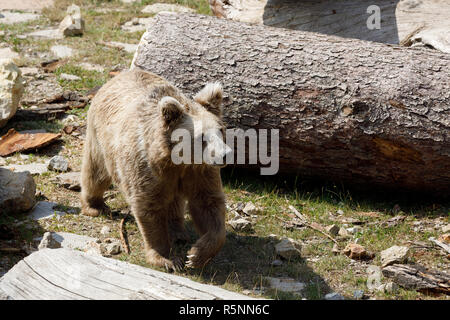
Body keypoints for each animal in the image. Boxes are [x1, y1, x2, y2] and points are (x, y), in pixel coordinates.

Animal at [80, 69, 229, 272]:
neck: (177, 161)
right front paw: (167, 259)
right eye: (202, 137)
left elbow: (209, 204)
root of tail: (120, 75)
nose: (225, 155)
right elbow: (149, 207)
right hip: (100, 138)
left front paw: (195, 255)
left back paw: (178, 232)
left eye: (220, 130)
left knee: (175, 200)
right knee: (96, 173)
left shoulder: (198, 172)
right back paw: (94, 206)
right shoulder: (147, 168)